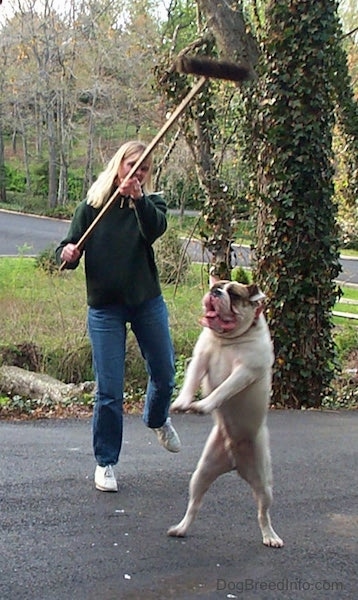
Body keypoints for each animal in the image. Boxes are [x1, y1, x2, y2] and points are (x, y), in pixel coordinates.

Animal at [169, 282, 284, 548]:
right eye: (217, 286)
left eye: (233, 294)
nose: (215, 292)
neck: (227, 340)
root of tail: (235, 461)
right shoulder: (200, 359)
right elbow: (190, 382)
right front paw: (182, 402)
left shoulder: (244, 372)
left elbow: (222, 390)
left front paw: (202, 406)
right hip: (201, 474)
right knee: (195, 504)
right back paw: (181, 528)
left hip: (265, 483)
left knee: (263, 512)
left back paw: (270, 537)